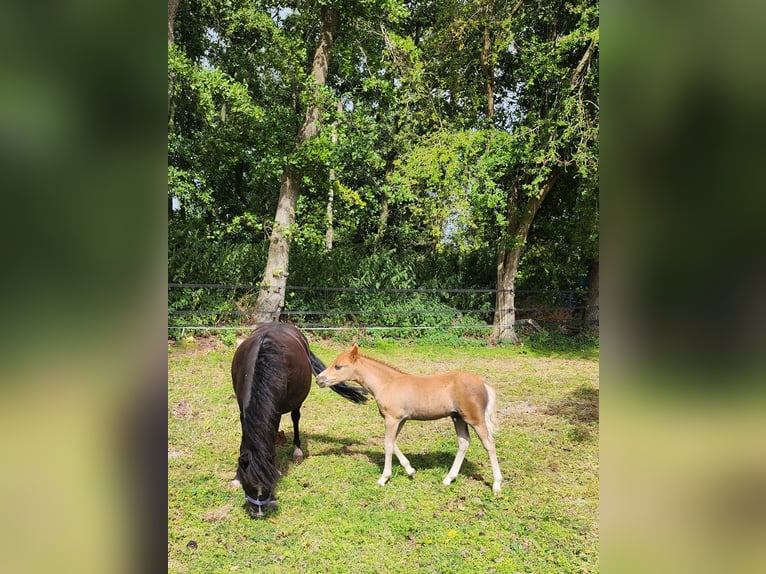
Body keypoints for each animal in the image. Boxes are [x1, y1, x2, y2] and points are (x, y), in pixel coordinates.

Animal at [231, 323, 367, 517]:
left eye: (269, 484)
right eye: (248, 484)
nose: (258, 512)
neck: (262, 364)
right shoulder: (242, 408)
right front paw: (236, 477)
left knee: (295, 418)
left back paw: (297, 451)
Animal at [315, 343, 503, 494]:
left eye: (338, 366)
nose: (318, 379)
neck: (387, 383)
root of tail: (483, 384)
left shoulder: (392, 418)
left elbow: (387, 444)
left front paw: (383, 478)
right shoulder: (401, 419)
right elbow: (393, 442)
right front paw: (410, 470)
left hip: (474, 419)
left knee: (489, 443)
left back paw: (496, 484)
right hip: (458, 418)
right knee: (463, 442)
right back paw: (449, 478)